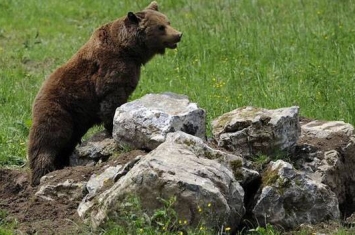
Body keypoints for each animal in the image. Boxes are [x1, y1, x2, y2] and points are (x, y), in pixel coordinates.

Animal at [27, 1, 182, 185]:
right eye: (160, 27)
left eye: (168, 22)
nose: (178, 35)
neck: (130, 50)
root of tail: (35, 98)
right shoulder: (111, 70)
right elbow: (111, 101)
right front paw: (112, 129)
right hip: (59, 110)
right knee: (48, 140)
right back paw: (42, 173)